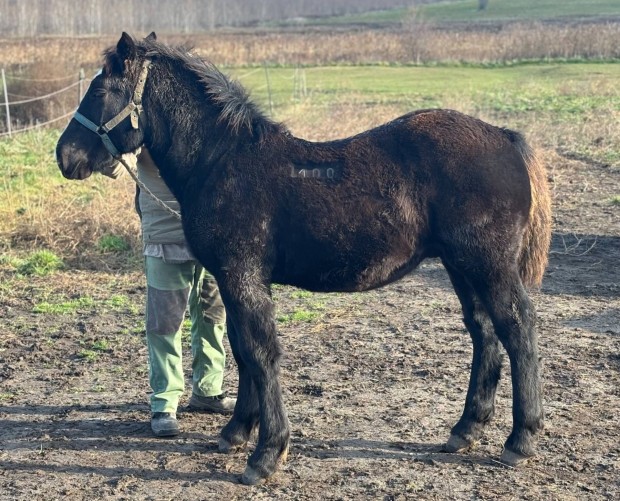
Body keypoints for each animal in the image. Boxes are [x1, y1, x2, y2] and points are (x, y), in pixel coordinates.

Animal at [57, 32, 552, 484]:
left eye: (100, 91)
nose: (64, 155)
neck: (221, 163)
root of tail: (505, 137)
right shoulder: (234, 281)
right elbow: (241, 350)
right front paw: (237, 431)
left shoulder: (242, 277)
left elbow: (260, 353)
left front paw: (266, 453)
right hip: (461, 266)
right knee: (483, 331)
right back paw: (465, 429)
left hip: (489, 264)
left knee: (517, 328)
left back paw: (520, 440)